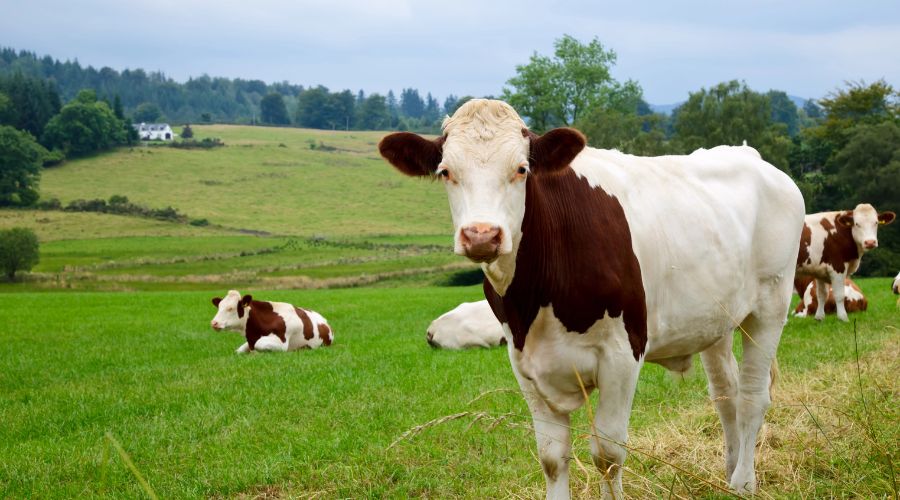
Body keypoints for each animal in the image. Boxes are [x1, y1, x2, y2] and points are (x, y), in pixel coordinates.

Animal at [376, 99, 804, 498]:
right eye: (446, 172)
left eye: (521, 169)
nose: (482, 235)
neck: (537, 299)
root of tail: (749, 155)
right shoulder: (523, 361)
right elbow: (551, 456)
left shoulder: (622, 354)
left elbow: (608, 454)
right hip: (715, 320)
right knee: (726, 394)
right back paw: (729, 471)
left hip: (771, 304)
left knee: (752, 396)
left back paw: (744, 483)